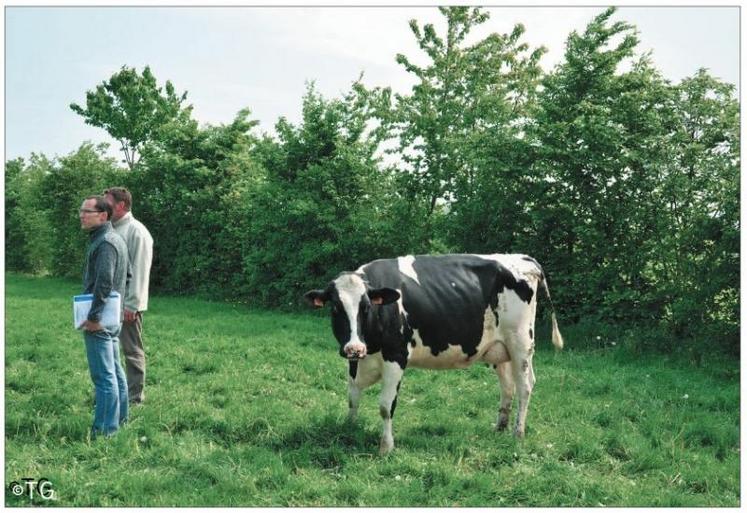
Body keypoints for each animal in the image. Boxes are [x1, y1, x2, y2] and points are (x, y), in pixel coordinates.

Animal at [304, 254, 560, 454]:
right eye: (335, 308)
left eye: (366, 307)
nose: (354, 348)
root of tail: (524, 259)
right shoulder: (357, 362)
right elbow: (352, 398)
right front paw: (349, 429)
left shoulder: (396, 356)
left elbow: (386, 406)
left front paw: (386, 447)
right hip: (500, 349)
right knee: (507, 387)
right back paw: (499, 428)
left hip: (521, 343)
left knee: (525, 386)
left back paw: (518, 433)